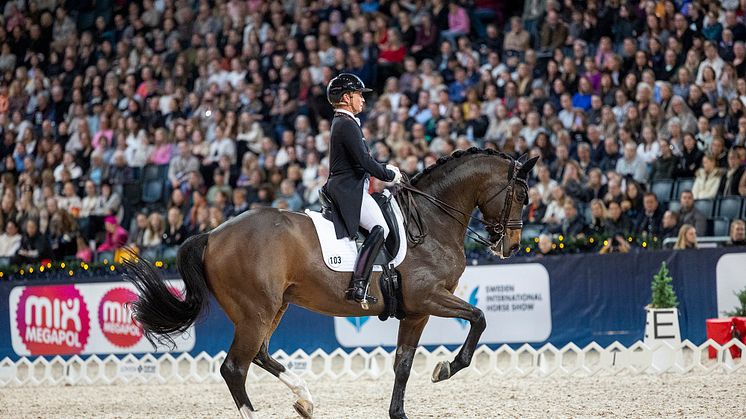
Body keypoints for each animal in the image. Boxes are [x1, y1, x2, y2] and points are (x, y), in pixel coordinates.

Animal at [126, 148, 536, 419]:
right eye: (521, 194)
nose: (512, 246)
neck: (431, 219)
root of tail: (212, 235)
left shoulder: (415, 312)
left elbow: (403, 365)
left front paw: (399, 412)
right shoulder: (429, 299)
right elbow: (479, 318)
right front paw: (446, 368)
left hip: (273, 307)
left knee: (259, 354)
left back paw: (305, 399)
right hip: (255, 310)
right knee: (234, 368)